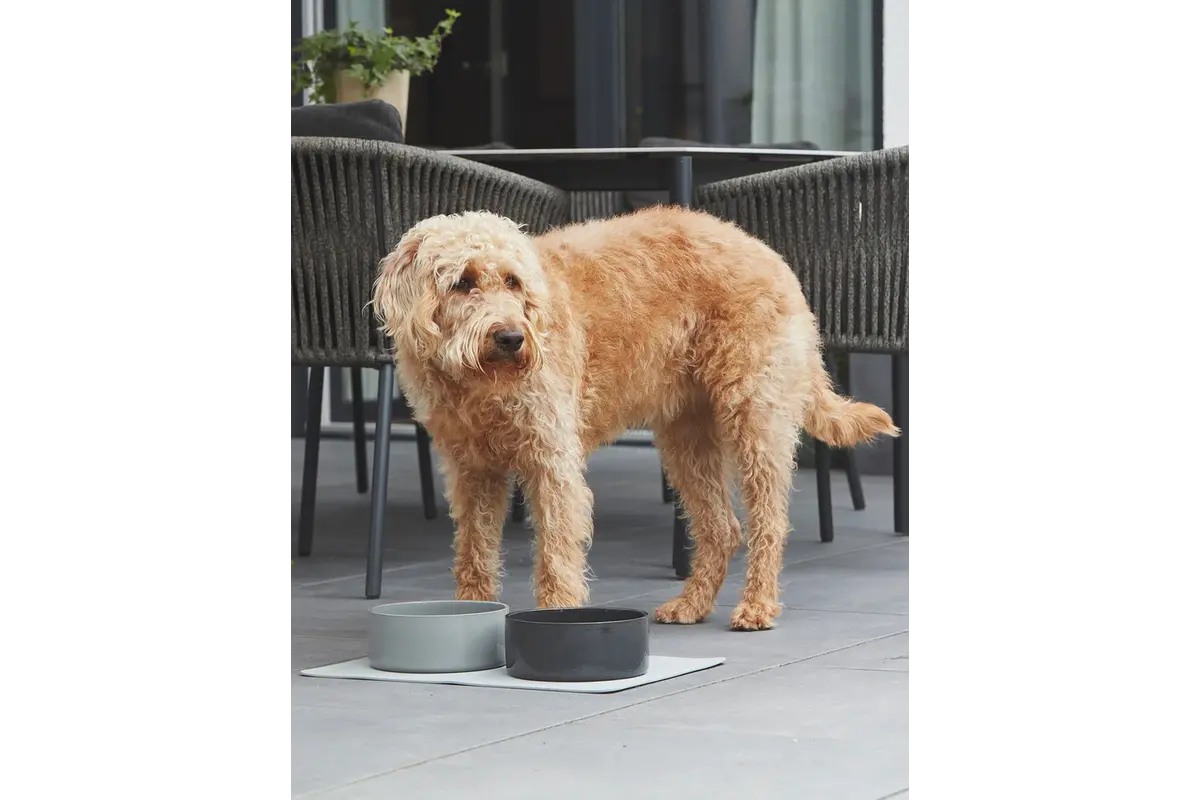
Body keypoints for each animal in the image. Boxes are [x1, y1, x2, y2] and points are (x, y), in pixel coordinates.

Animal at [374, 206, 902, 633]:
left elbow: (557, 553)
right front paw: (471, 609)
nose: (510, 338)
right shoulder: (472, 471)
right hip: (686, 438)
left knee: (768, 523)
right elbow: (474, 553)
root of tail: (770, 255)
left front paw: (556, 617)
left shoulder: (552, 463)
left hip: (754, 418)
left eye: (512, 281)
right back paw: (690, 605)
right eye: (462, 281)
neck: (478, 384)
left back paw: (756, 607)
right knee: (722, 528)